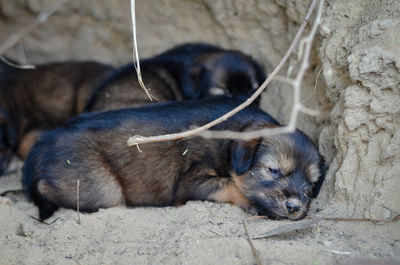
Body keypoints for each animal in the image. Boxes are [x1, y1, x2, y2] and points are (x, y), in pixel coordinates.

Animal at [23, 96, 326, 220]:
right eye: (274, 171)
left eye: (312, 186)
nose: (294, 207)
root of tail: (42, 145)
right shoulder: (190, 182)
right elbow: (229, 184)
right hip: (102, 188)